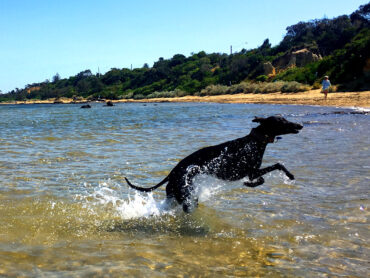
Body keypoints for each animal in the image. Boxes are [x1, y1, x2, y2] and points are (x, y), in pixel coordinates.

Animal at [125, 115, 302, 213]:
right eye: (281, 121)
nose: (299, 125)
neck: (255, 141)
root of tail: (171, 173)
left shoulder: (251, 172)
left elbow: (268, 173)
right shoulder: (250, 171)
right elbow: (276, 166)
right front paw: (290, 175)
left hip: (176, 196)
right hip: (187, 197)